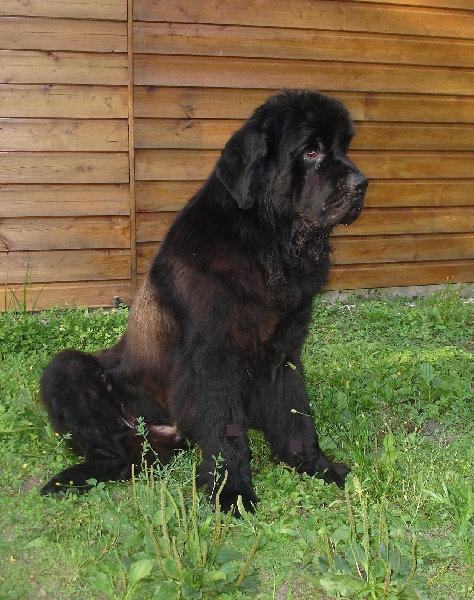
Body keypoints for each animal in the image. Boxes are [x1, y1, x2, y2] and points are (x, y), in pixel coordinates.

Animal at [39, 89, 366, 510]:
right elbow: (225, 431)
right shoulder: (212, 356)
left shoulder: (282, 352)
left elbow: (296, 414)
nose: (362, 183)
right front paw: (233, 492)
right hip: (68, 371)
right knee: (109, 450)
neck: (266, 246)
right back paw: (76, 476)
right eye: (311, 151)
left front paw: (316, 466)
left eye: (344, 147)